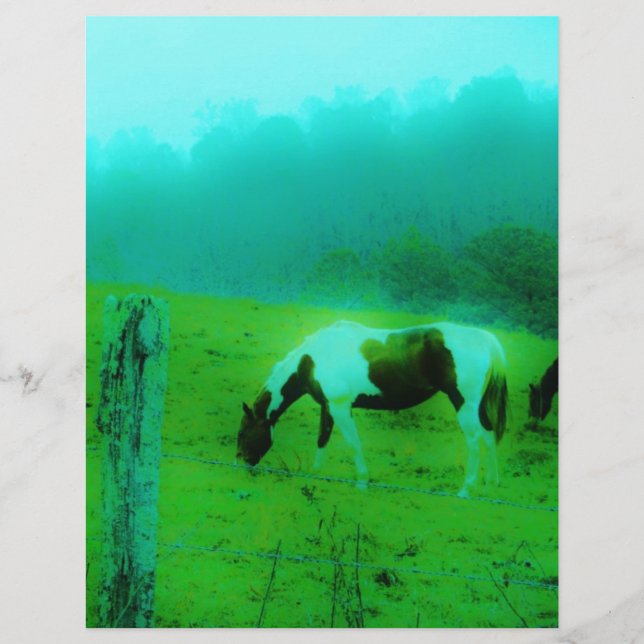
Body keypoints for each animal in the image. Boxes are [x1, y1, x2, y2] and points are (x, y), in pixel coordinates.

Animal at [236, 320, 508, 497]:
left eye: (243, 433)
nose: (241, 465)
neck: (312, 359)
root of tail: (486, 339)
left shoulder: (341, 407)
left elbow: (353, 443)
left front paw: (362, 481)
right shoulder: (328, 406)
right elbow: (322, 438)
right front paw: (316, 472)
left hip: (463, 403)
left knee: (474, 441)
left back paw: (466, 489)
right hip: (476, 407)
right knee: (488, 434)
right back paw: (490, 484)